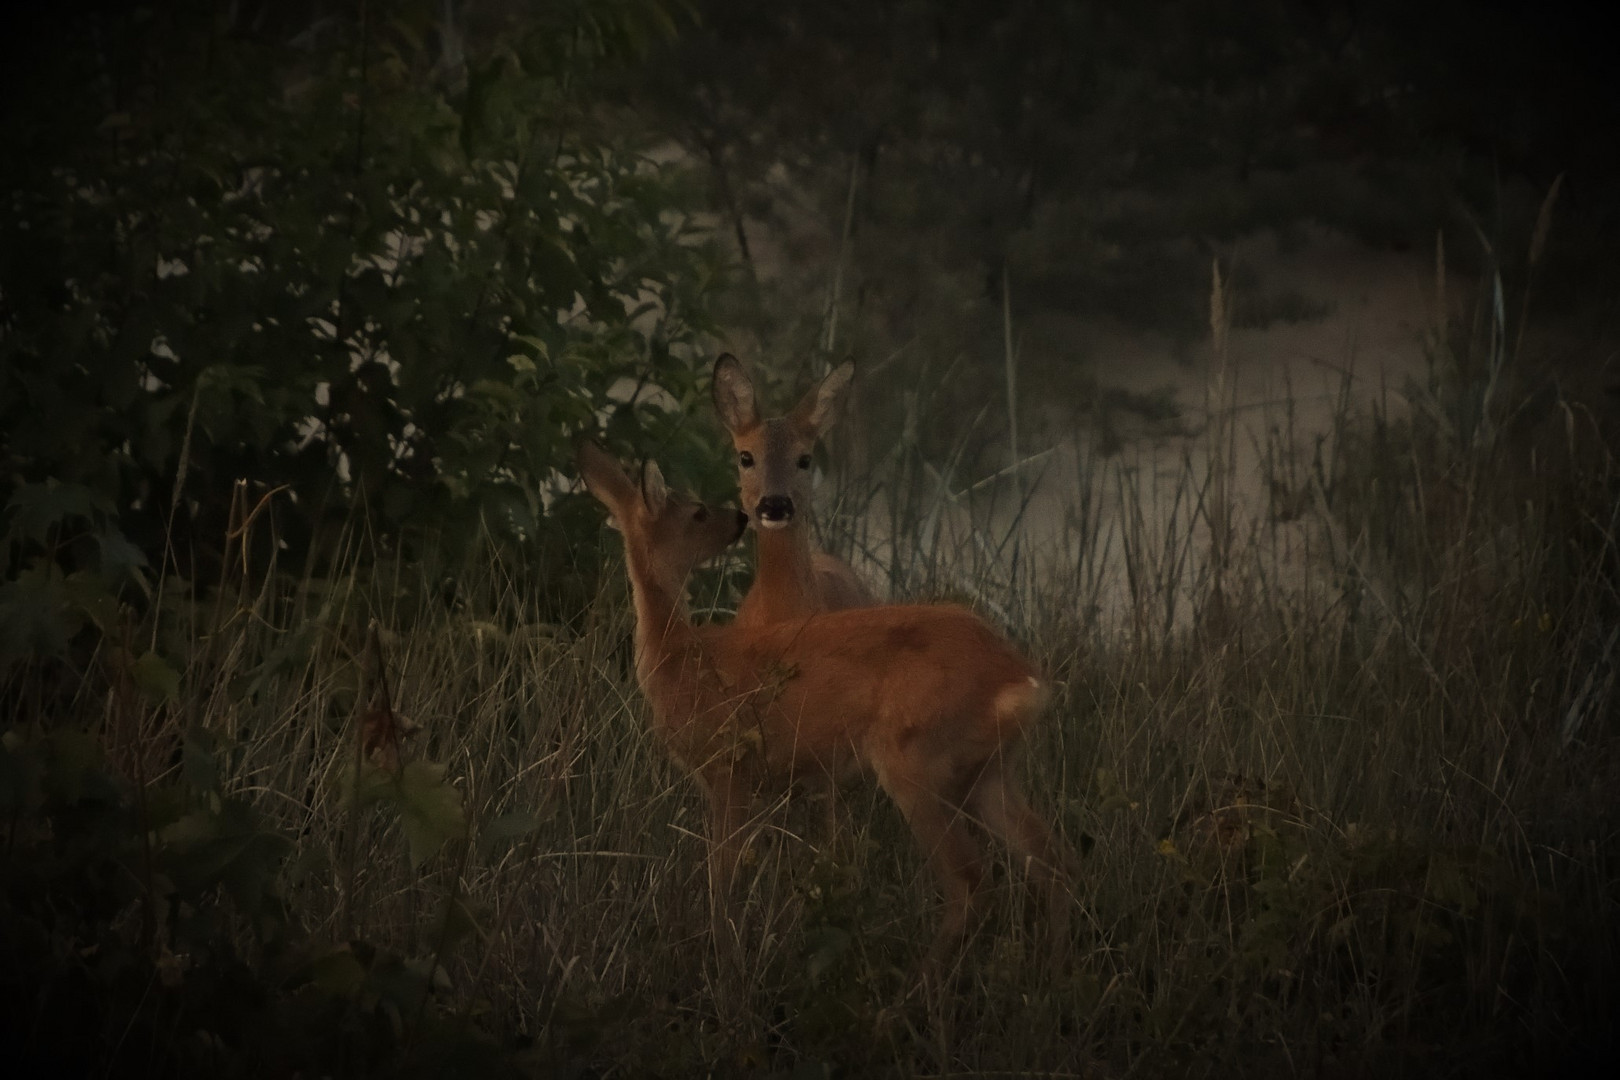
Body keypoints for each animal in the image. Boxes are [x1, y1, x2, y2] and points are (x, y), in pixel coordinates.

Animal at [576, 440, 1069, 965]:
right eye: (698, 511)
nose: (740, 518)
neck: (680, 658)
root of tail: (1019, 677)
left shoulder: (732, 766)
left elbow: (722, 877)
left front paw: (727, 956)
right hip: (988, 769)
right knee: (1051, 857)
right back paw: (1056, 955)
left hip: (917, 758)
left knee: (971, 879)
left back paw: (923, 979)